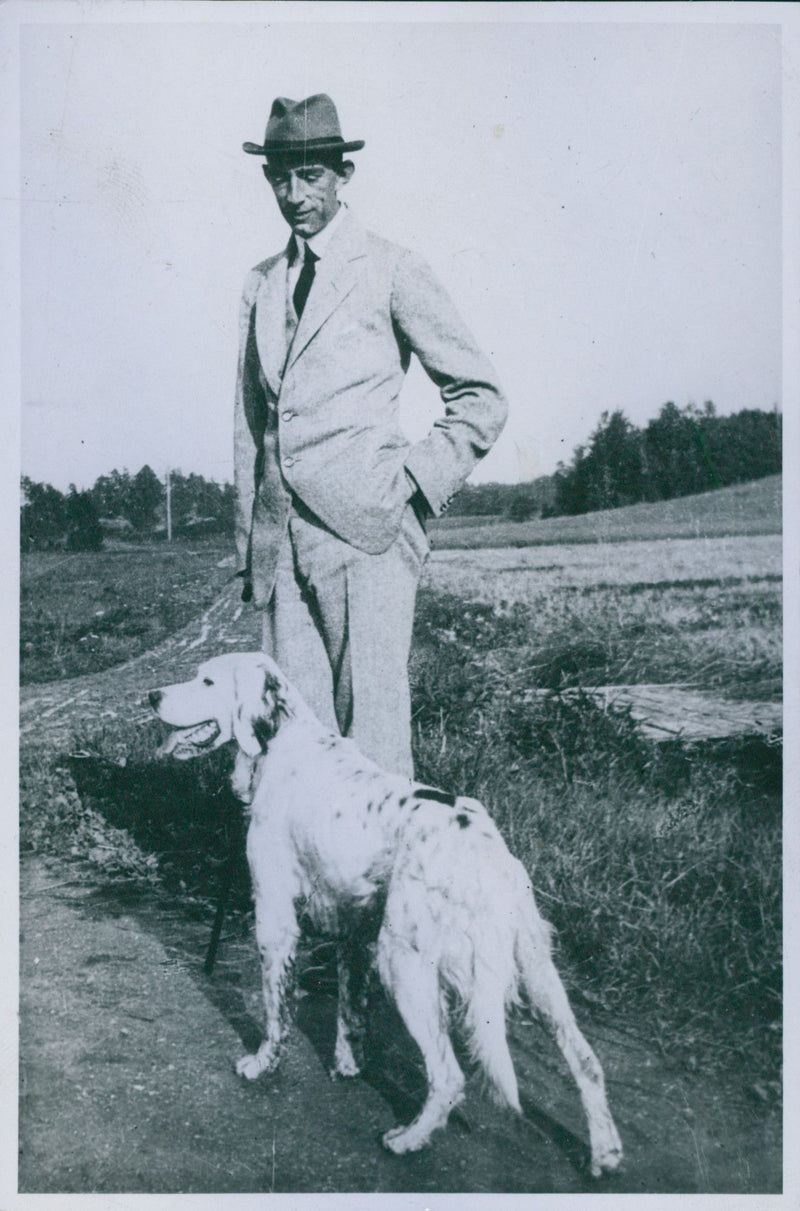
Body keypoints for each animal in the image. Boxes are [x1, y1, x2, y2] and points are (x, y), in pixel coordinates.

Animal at [150, 653, 624, 1172]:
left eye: (207, 681)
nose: (152, 696)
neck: (283, 741)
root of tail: (486, 853)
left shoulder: (276, 917)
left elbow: (277, 1010)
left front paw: (262, 1063)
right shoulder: (355, 929)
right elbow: (350, 1012)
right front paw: (346, 1066)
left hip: (405, 965)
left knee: (449, 1075)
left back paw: (409, 1138)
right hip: (538, 973)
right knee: (587, 1061)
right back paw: (605, 1152)